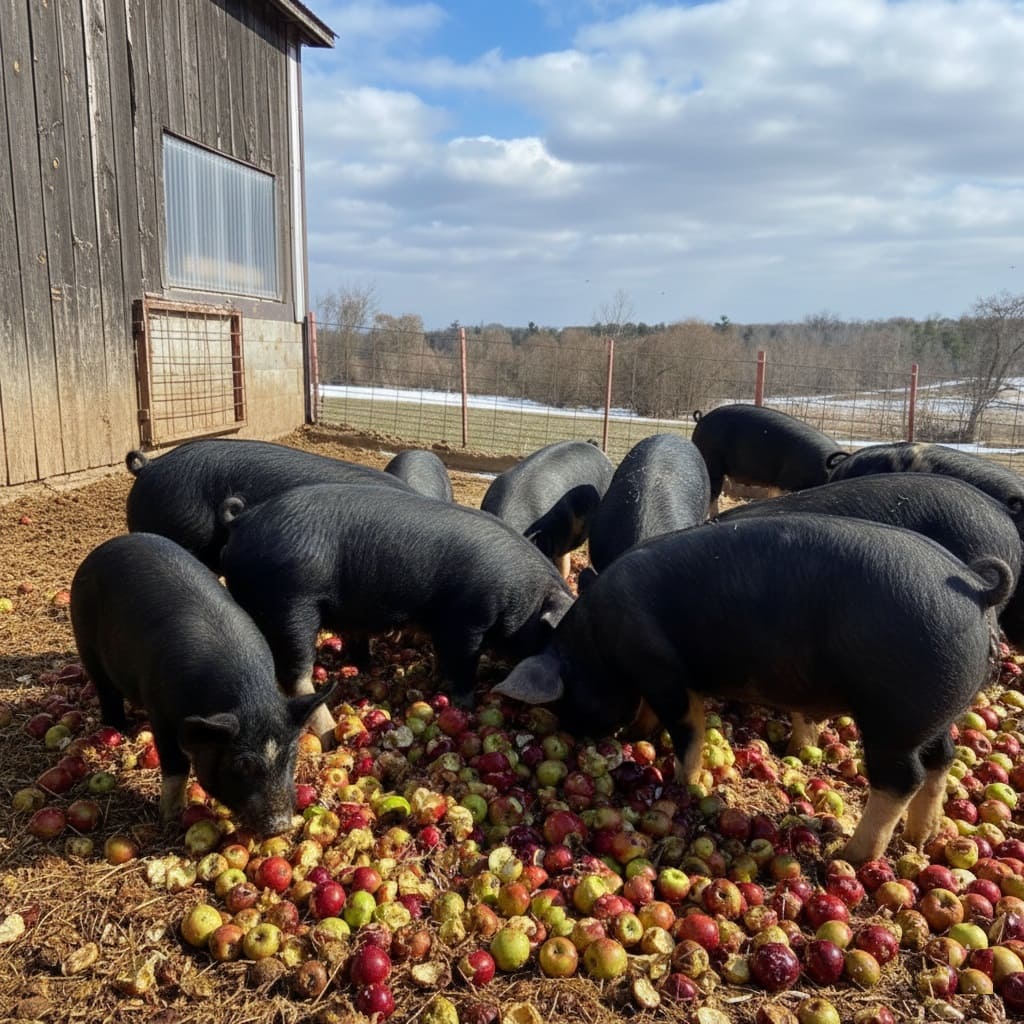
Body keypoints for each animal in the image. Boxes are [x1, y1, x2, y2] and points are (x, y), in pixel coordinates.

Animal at [70, 532, 335, 833]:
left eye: (290, 756)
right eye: (242, 764)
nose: (281, 826)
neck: (249, 697)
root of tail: (106, 547)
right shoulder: (160, 712)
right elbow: (176, 765)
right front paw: (171, 817)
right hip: (85, 641)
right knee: (105, 689)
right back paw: (118, 727)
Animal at [219, 484, 575, 731]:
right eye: (549, 634)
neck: (526, 597)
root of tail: (242, 522)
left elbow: (440, 657)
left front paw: (433, 681)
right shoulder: (468, 620)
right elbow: (462, 665)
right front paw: (465, 704)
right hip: (289, 607)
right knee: (296, 678)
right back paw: (330, 733)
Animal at [493, 513, 1012, 863]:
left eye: (568, 699)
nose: (582, 737)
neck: (599, 642)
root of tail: (975, 589)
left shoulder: (663, 669)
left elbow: (688, 728)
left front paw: (686, 782)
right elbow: (656, 714)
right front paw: (640, 736)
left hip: (894, 715)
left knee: (902, 778)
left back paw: (848, 856)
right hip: (934, 713)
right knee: (941, 759)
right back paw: (920, 839)